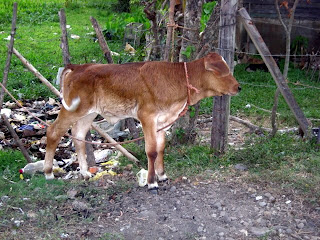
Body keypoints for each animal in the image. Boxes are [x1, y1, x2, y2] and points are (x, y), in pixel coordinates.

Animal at [44, 52, 240, 191]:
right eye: (221, 71)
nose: (238, 87)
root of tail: (77, 67)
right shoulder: (147, 116)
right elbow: (151, 151)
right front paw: (152, 182)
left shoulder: (162, 120)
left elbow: (161, 148)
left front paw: (162, 175)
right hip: (74, 109)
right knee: (53, 132)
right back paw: (48, 173)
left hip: (88, 114)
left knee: (78, 135)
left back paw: (85, 172)